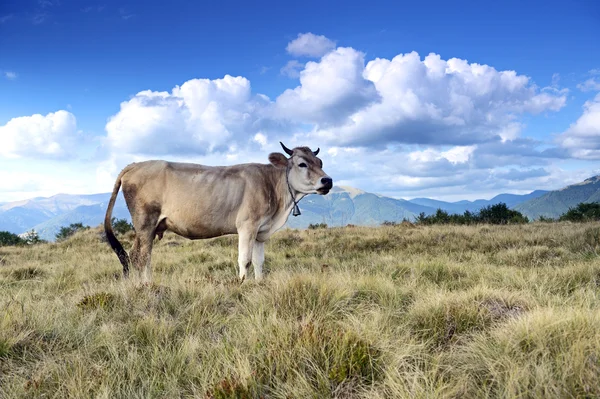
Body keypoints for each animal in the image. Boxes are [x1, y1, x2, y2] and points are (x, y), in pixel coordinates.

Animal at [105, 144, 336, 284]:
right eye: (302, 163)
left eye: (320, 163)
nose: (328, 180)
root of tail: (135, 165)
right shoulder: (247, 226)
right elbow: (245, 259)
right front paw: (242, 284)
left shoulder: (261, 231)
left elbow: (259, 261)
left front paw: (259, 283)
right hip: (145, 222)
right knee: (144, 257)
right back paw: (147, 284)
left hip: (146, 228)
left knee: (133, 255)